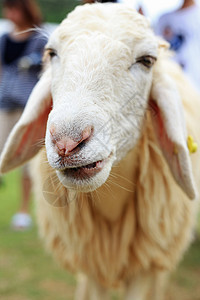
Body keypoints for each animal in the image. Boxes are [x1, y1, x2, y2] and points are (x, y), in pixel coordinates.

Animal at [0, 2, 200, 300]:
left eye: (147, 60)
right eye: (52, 53)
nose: (67, 142)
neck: (112, 204)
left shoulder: (145, 265)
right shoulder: (91, 262)